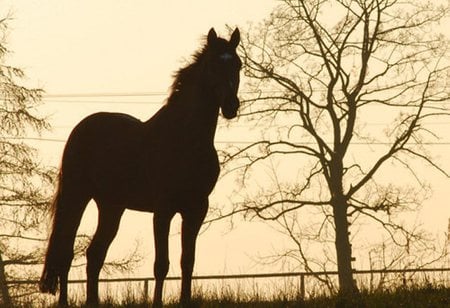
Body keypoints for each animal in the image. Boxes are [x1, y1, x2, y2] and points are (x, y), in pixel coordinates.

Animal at [40, 27, 241, 306]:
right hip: (76, 196)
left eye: (238, 65)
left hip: (112, 206)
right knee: (66, 251)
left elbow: (187, 262)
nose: (231, 106)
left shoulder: (197, 209)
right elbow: (162, 265)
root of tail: (82, 127)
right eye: (213, 65)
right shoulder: (164, 209)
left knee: (95, 254)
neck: (186, 139)